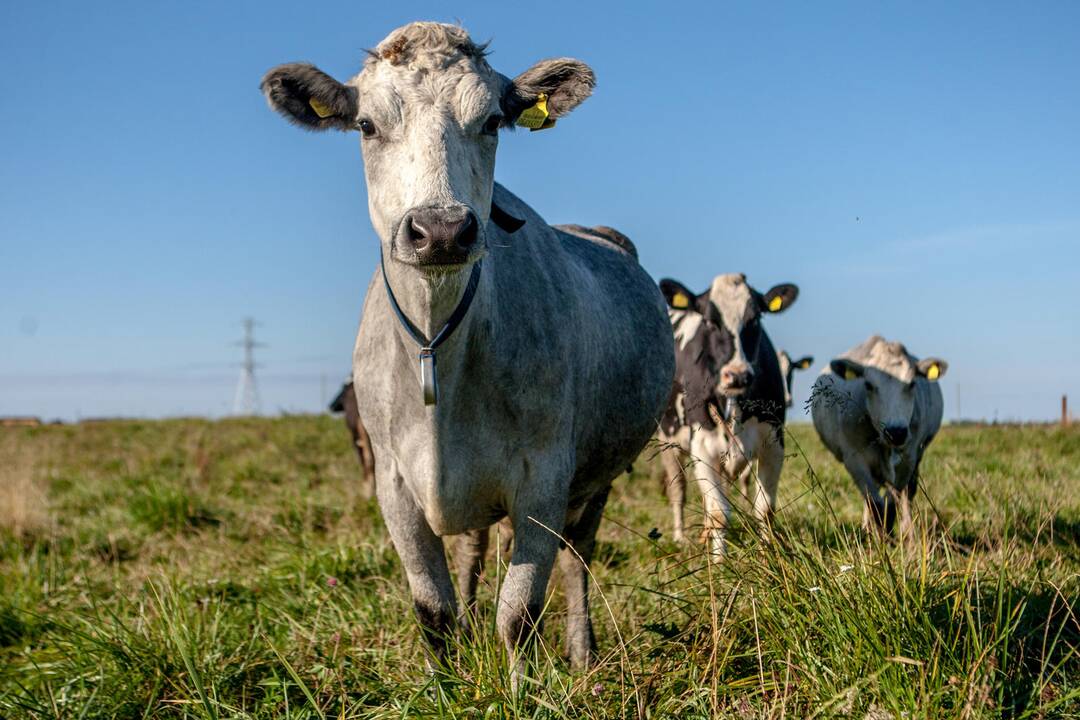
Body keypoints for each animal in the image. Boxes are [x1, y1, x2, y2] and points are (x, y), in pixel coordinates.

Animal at [259, 21, 673, 677]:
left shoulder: (544, 479)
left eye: (493, 121)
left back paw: (582, 655)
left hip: (597, 475)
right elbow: (435, 612)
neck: (440, 352)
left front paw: (522, 685)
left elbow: (520, 612)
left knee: (577, 557)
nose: (442, 231)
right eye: (366, 125)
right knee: (479, 546)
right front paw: (445, 682)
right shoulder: (394, 484)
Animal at [652, 273, 799, 561]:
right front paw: (720, 565)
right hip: (668, 441)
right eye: (710, 321)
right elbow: (720, 514)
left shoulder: (773, 444)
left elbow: (764, 511)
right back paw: (680, 538)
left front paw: (768, 561)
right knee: (679, 491)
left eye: (755, 319)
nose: (738, 375)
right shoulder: (702, 448)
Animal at [812, 334, 946, 537]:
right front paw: (879, 537)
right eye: (868, 384)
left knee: (907, 494)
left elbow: (892, 503)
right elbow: (874, 503)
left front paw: (894, 537)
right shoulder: (854, 460)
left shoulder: (909, 459)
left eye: (912, 383)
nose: (896, 432)